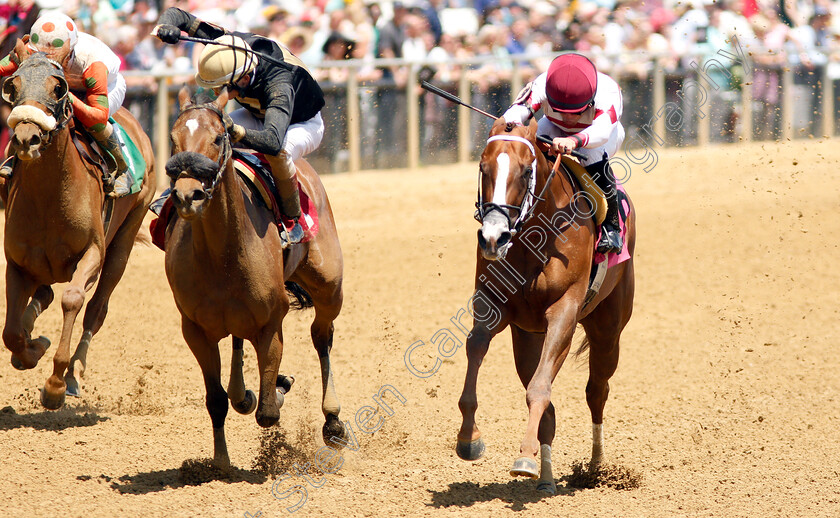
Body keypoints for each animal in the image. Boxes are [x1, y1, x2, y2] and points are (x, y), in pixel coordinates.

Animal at [0, 45, 156, 410]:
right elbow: (10, 333)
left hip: (125, 238)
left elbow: (73, 299)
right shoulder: (16, 262)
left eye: (58, 88)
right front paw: (31, 349)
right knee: (43, 293)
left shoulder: (93, 253)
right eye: (12, 86)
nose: (26, 138)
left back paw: (73, 375)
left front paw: (56, 384)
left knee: (96, 309)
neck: (49, 197)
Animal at [162, 89, 346, 472]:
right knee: (236, 349)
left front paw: (277, 386)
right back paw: (243, 392)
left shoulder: (270, 322)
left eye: (219, 137)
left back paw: (332, 420)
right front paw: (220, 460)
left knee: (322, 336)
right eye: (173, 139)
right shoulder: (195, 331)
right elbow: (216, 400)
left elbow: (268, 411)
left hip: (329, 286)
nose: (188, 195)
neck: (222, 254)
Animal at [460, 119, 636, 496]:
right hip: (528, 337)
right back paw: (547, 478)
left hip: (608, 328)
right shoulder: (494, 306)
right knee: (549, 404)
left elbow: (540, 388)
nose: (494, 238)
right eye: (483, 167)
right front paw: (469, 438)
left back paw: (596, 467)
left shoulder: (564, 313)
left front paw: (524, 457)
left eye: (527, 171)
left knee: (597, 390)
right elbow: (475, 347)